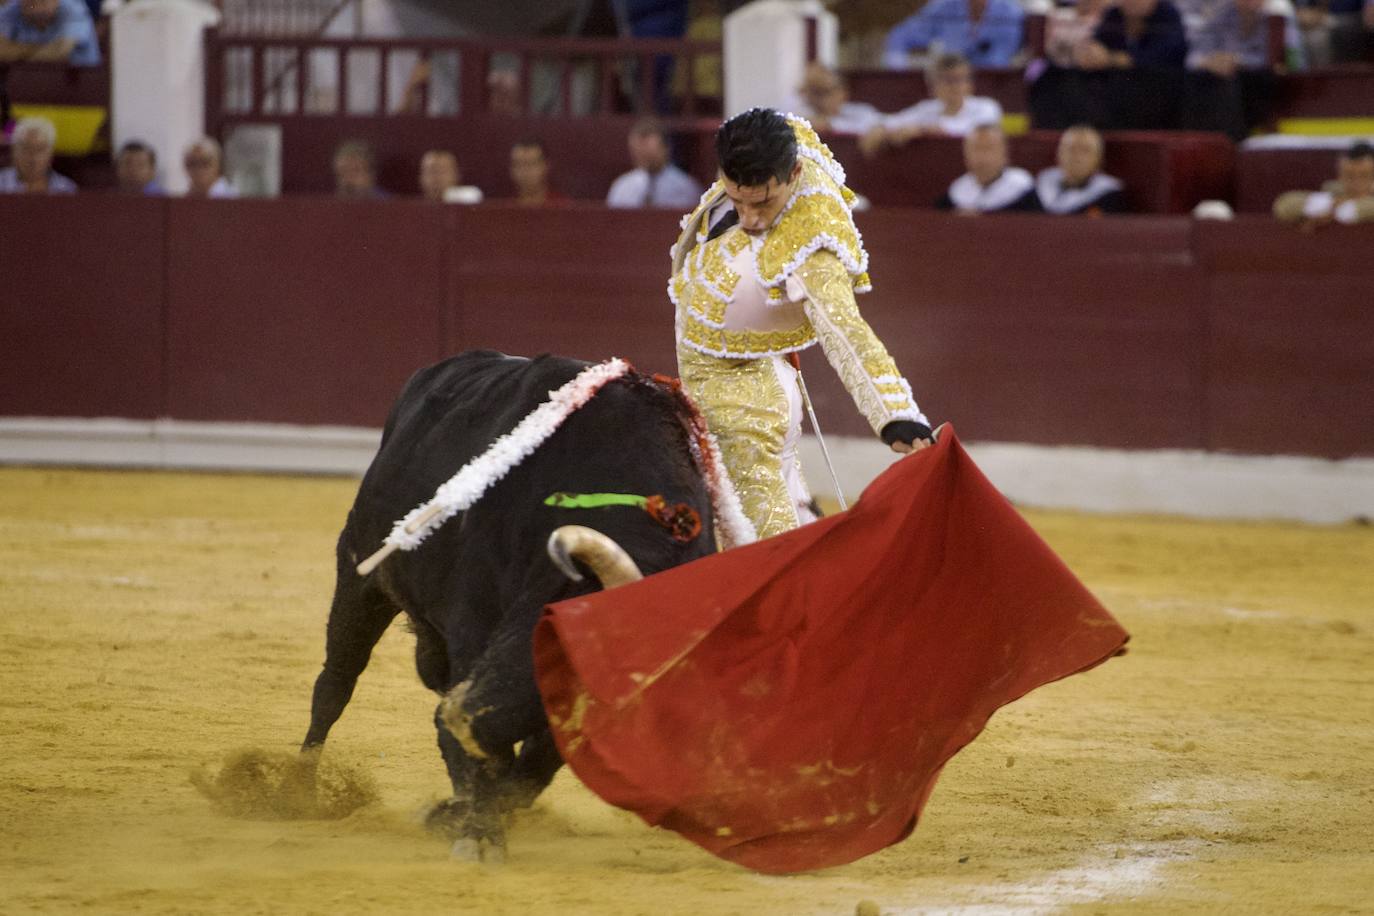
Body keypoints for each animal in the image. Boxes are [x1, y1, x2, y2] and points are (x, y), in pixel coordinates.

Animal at [298, 354, 708, 862]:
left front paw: (464, 817)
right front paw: (476, 831)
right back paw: (295, 793)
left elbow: (534, 763)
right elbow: (495, 759)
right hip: (360, 572)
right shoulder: (473, 623)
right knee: (335, 682)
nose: (460, 717)